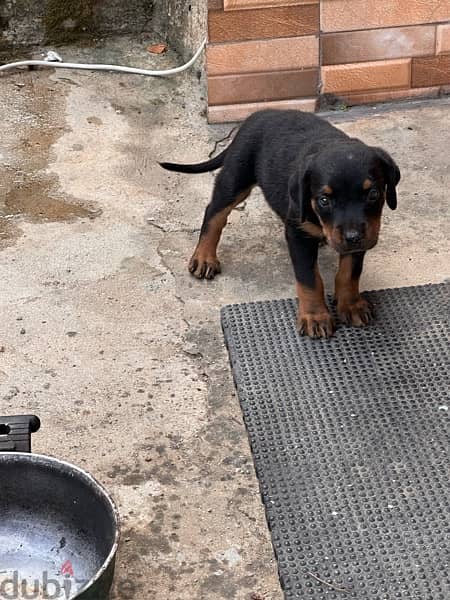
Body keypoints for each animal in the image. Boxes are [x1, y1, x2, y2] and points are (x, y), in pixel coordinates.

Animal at [159, 109, 400, 338]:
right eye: (324, 200)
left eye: (374, 194)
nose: (353, 237)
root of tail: (259, 114)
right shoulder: (298, 233)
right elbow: (309, 279)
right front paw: (315, 317)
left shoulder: (364, 233)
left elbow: (350, 273)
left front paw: (351, 305)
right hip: (235, 177)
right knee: (214, 213)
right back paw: (204, 257)